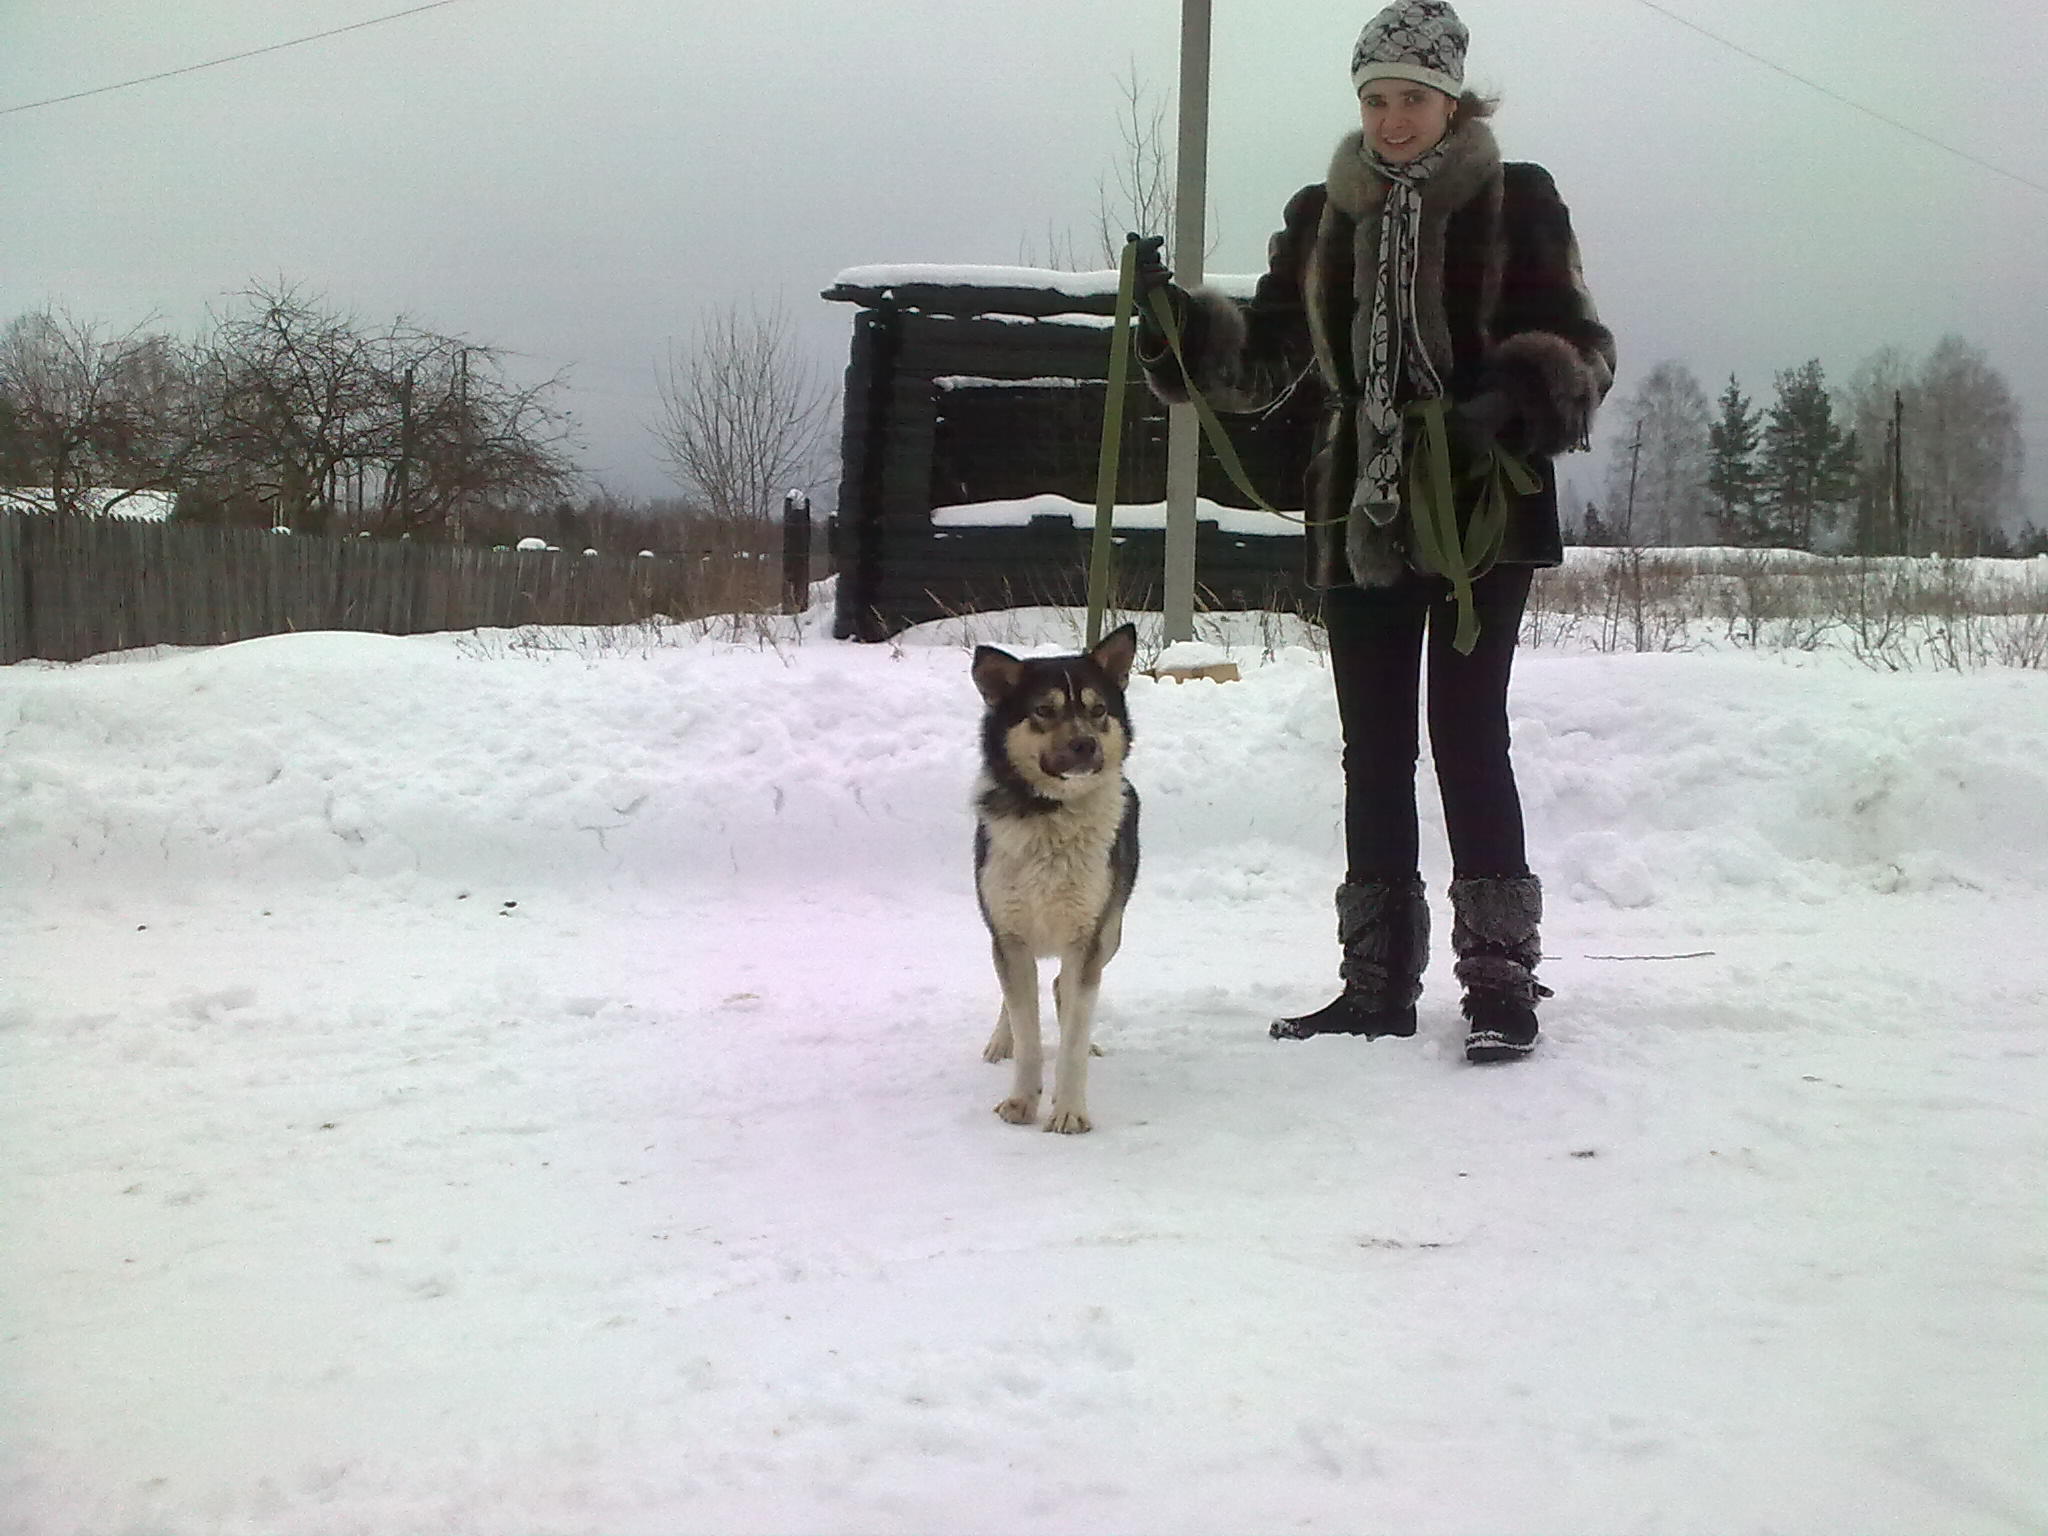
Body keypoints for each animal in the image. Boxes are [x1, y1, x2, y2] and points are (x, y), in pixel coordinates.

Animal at [970, 624, 1141, 1134]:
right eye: (1044, 711)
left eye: (1098, 709)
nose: (1086, 745)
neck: (1050, 813)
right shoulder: (1008, 934)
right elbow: (1026, 1027)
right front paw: (1021, 1101)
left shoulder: (1088, 937)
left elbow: (1072, 1039)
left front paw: (1068, 1110)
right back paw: (998, 1042)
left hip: (1112, 930)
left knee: (1064, 990)